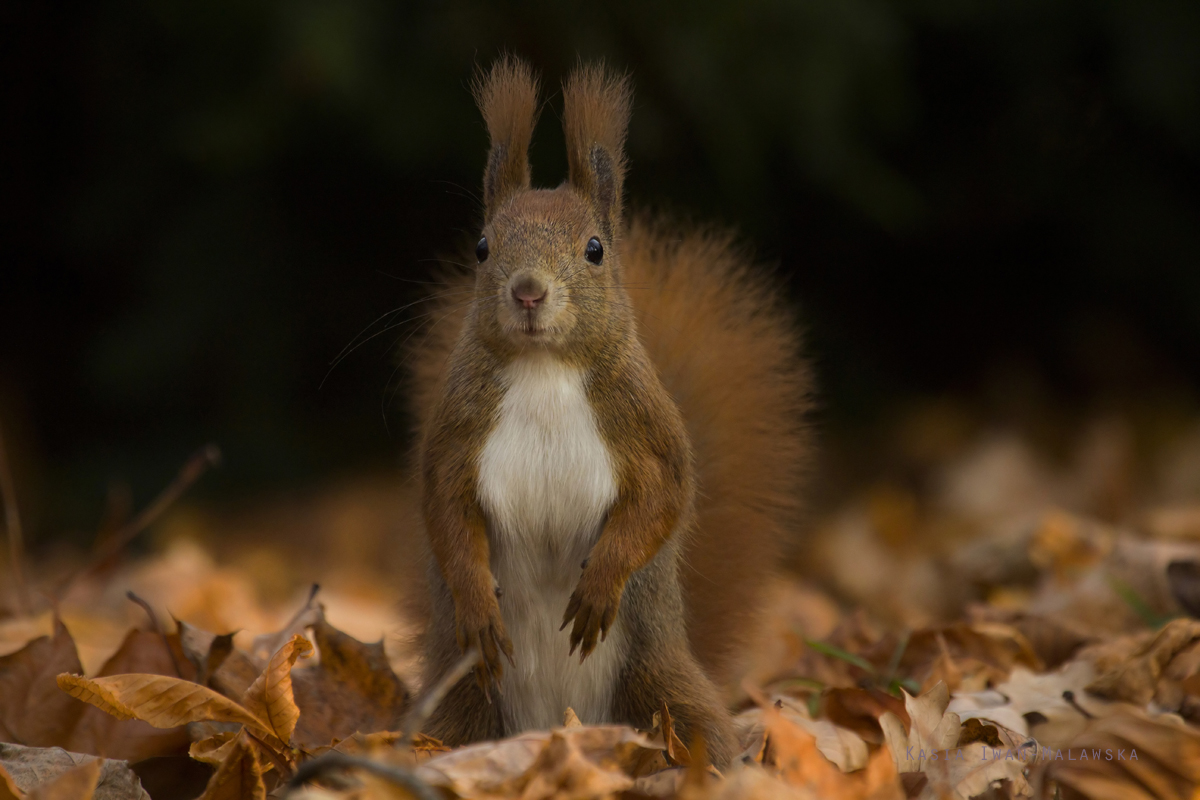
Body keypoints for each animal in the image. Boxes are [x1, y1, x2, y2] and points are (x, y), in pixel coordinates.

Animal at [408, 56, 811, 767]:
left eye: (595, 248)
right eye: (482, 246)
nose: (529, 291)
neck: (544, 370)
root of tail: (558, 726)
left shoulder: (646, 426)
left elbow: (663, 499)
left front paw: (601, 583)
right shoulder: (456, 432)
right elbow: (446, 512)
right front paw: (478, 604)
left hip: (658, 682)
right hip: (461, 701)